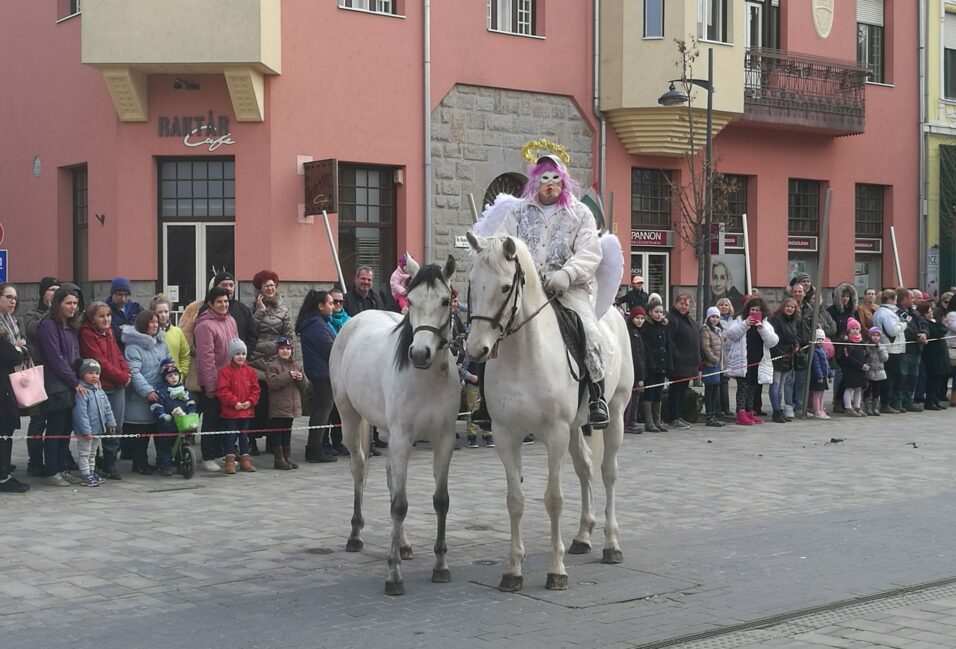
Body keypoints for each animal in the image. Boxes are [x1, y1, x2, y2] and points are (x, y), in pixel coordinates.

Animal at [330, 254, 462, 596]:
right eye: (411, 300)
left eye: (446, 301)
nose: (419, 353)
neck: (426, 380)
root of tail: (356, 319)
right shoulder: (403, 437)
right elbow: (399, 506)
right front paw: (394, 576)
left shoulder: (443, 440)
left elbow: (440, 501)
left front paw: (441, 566)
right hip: (350, 418)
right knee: (359, 469)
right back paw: (355, 536)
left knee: (391, 478)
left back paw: (402, 544)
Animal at [464, 230, 632, 588]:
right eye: (472, 282)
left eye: (505, 287)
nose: (476, 349)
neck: (523, 357)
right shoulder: (505, 435)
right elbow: (515, 500)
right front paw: (513, 570)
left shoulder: (554, 434)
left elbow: (553, 499)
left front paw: (556, 570)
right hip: (575, 427)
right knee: (585, 468)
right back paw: (583, 535)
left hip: (616, 412)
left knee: (608, 472)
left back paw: (611, 544)